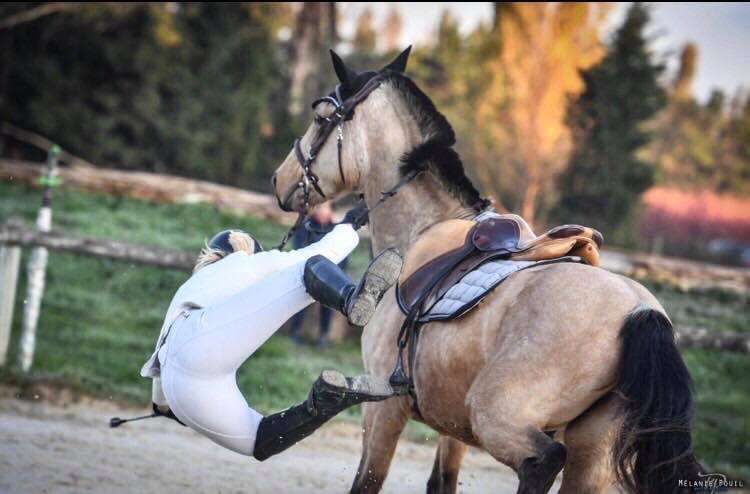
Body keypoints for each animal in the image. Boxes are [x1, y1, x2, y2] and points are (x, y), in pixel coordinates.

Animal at [271, 47, 702, 494]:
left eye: (321, 118)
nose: (279, 179)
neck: (422, 228)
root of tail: (640, 311)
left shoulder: (383, 407)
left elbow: (367, 481)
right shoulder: (452, 428)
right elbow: (441, 481)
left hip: (497, 415)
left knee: (543, 460)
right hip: (593, 449)